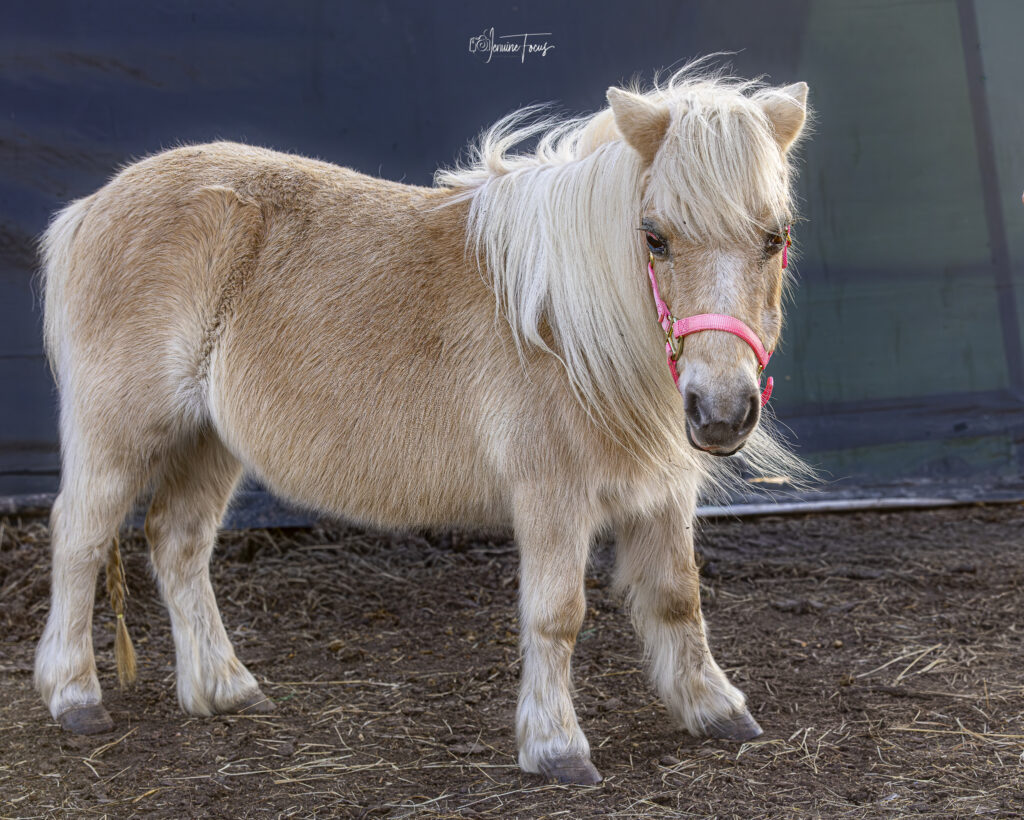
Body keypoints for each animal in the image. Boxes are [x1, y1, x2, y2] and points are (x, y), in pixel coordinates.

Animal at [35, 66, 809, 784]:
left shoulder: (662, 493)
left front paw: (716, 709)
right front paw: (556, 747)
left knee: (179, 541)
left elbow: (678, 598)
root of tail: (94, 206)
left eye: (775, 237)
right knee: (80, 537)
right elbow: (557, 615)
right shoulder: (553, 498)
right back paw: (74, 697)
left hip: (209, 442)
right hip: (121, 435)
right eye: (655, 238)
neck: (568, 326)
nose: (721, 410)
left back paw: (224, 689)